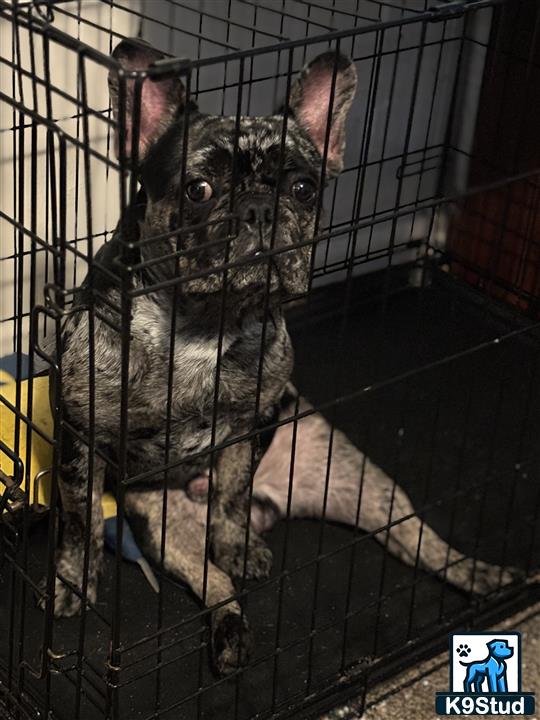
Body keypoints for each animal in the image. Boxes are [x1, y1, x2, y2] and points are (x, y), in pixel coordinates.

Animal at [40, 39, 516, 676]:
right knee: (213, 582)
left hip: (356, 478)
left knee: (417, 537)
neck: (201, 323)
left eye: (303, 189)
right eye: (198, 189)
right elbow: (80, 521)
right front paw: (73, 582)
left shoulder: (254, 423)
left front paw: (238, 541)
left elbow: (233, 492)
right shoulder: (80, 435)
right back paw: (230, 635)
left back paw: (481, 575)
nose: (260, 209)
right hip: (167, 525)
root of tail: (279, 503)